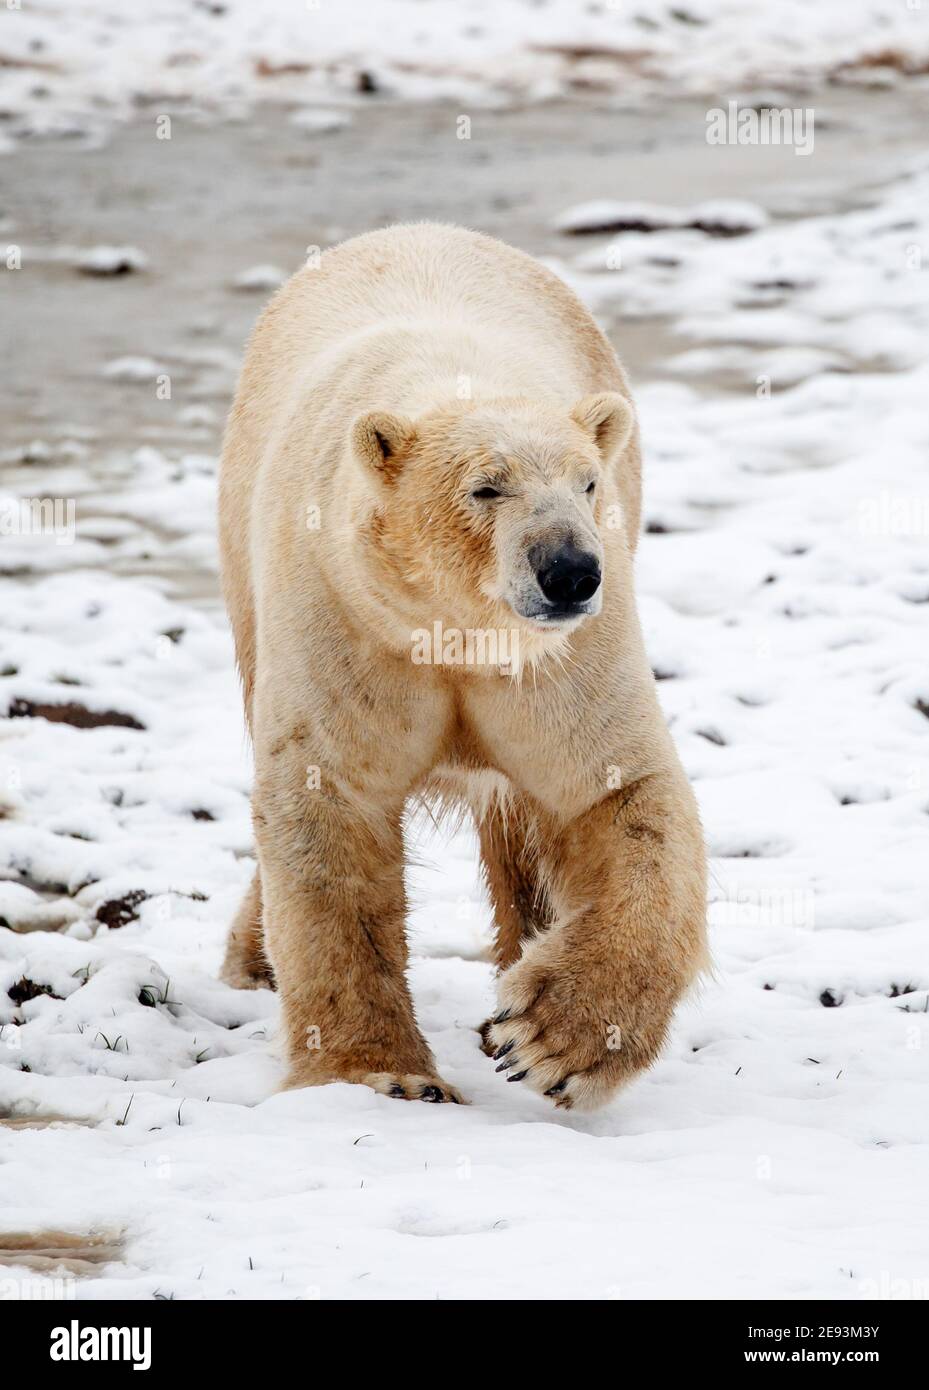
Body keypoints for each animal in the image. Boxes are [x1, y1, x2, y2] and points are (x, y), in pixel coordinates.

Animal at [218, 222, 707, 1112]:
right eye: (486, 488)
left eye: (587, 483)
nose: (568, 570)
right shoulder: (345, 614)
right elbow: (326, 802)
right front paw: (381, 1073)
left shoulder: (562, 658)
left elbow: (617, 792)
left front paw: (552, 1036)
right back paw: (253, 957)